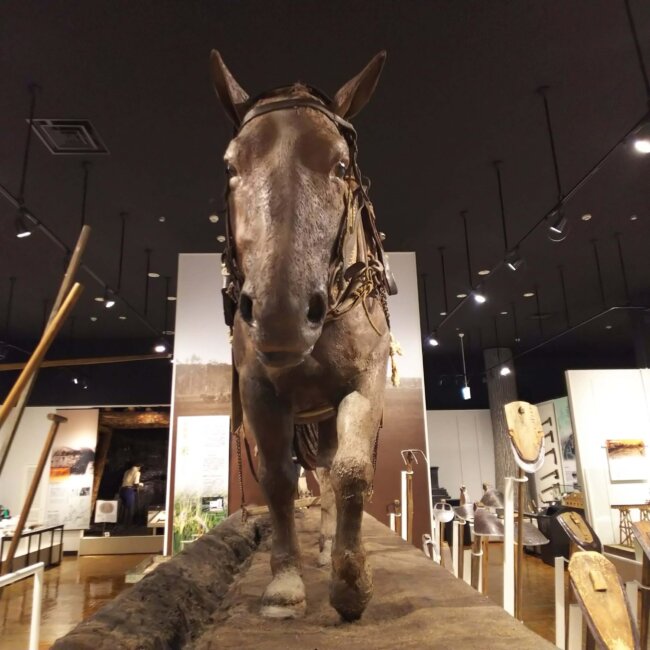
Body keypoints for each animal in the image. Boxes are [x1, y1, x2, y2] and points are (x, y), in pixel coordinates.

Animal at [209, 49, 394, 616]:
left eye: (341, 165)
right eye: (231, 166)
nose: (280, 316)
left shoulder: (365, 381)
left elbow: (352, 472)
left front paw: (351, 581)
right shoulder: (258, 391)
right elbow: (276, 479)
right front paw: (285, 583)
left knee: (334, 472)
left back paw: (330, 547)